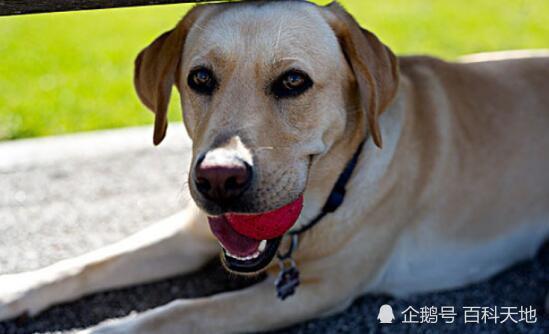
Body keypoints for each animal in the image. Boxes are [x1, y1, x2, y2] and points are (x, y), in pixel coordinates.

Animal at [1, 1, 548, 332]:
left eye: (292, 82)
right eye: (200, 78)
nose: (219, 179)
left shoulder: (315, 292)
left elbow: (176, 313)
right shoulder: (191, 232)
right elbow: (88, 262)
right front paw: (15, 287)